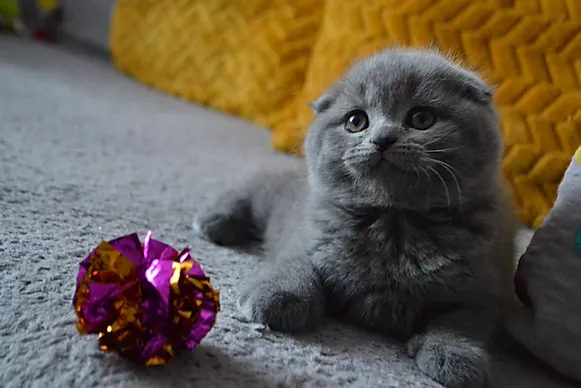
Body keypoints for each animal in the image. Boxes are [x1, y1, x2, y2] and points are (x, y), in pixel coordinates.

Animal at [196, 49, 516, 388]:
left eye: (422, 119)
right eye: (356, 121)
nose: (383, 138)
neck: (393, 222)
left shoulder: (483, 287)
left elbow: (462, 320)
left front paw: (455, 356)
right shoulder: (309, 235)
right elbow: (295, 264)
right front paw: (278, 295)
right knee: (254, 187)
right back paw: (215, 220)